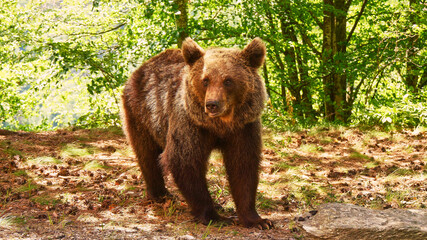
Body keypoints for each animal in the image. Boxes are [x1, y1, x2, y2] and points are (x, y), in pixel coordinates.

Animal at [122, 37, 272, 229]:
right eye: (205, 80)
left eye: (228, 80)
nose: (212, 104)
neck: (220, 124)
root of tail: (141, 68)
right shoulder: (189, 123)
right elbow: (185, 161)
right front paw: (215, 216)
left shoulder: (244, 128)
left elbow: (243, 166)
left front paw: (258, 220)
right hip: (141, 113)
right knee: (146, 154)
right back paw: (160, 195)